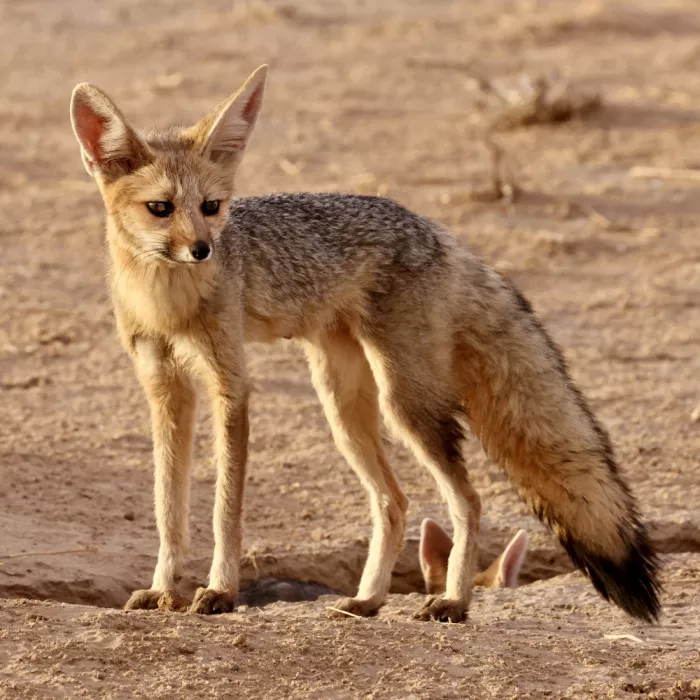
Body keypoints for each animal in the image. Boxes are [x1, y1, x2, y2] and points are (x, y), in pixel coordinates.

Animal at [69, 65, 661, 623]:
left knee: (467, 500)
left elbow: (224, 509)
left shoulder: (229, 384)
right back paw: (368, 600)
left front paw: (220, 591)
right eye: (161, 209)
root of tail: (435, 229)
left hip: (404, 404)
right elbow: (168, 508)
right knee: (394, 501)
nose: (202, 249)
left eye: (212, 207)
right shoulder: (165, 391)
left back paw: (453, 602)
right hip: (342, 410)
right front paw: (163, 590)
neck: (166, 305)